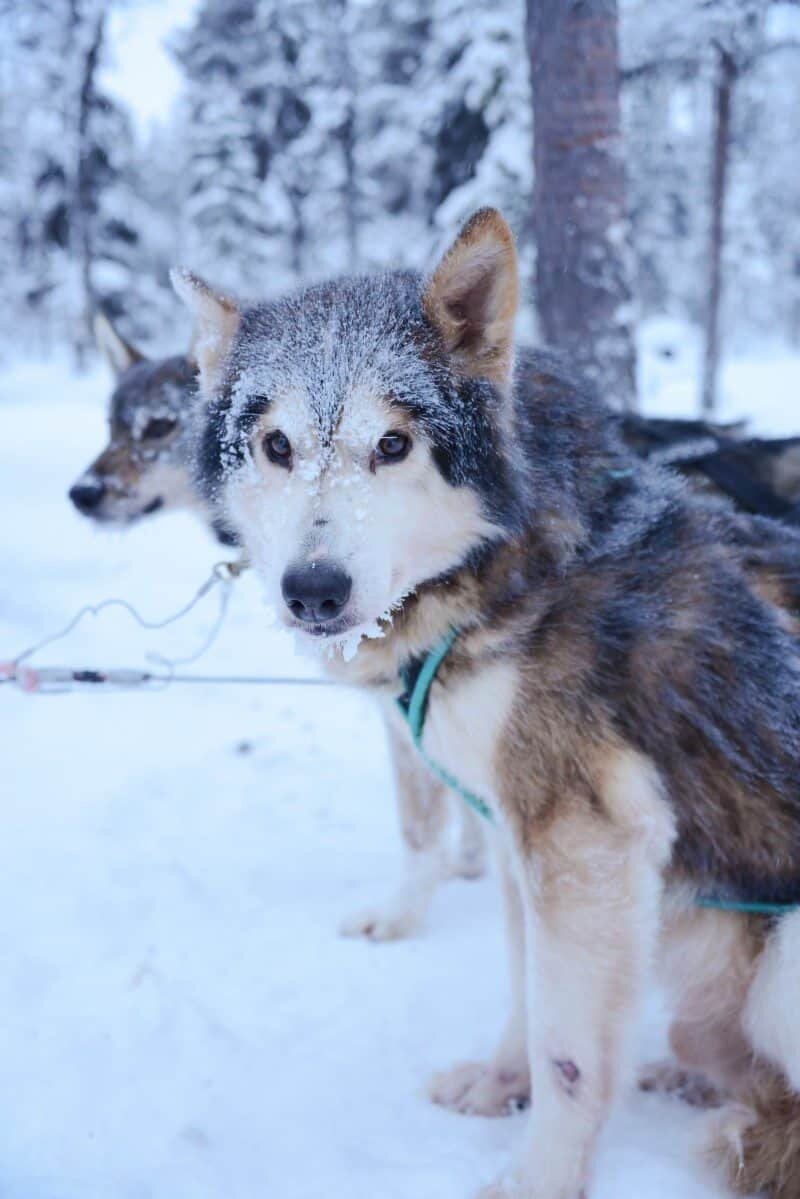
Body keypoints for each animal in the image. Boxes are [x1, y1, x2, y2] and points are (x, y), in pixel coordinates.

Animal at [176, 215, 800, 1199]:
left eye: (393, 444)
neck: (516, 571)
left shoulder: (580, 839)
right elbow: (527, 992)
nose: (313, 590)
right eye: (275, 445)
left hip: (785, 953)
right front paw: (504, 1082)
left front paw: (540, 1175)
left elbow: (569, 1049)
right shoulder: (515, 833)